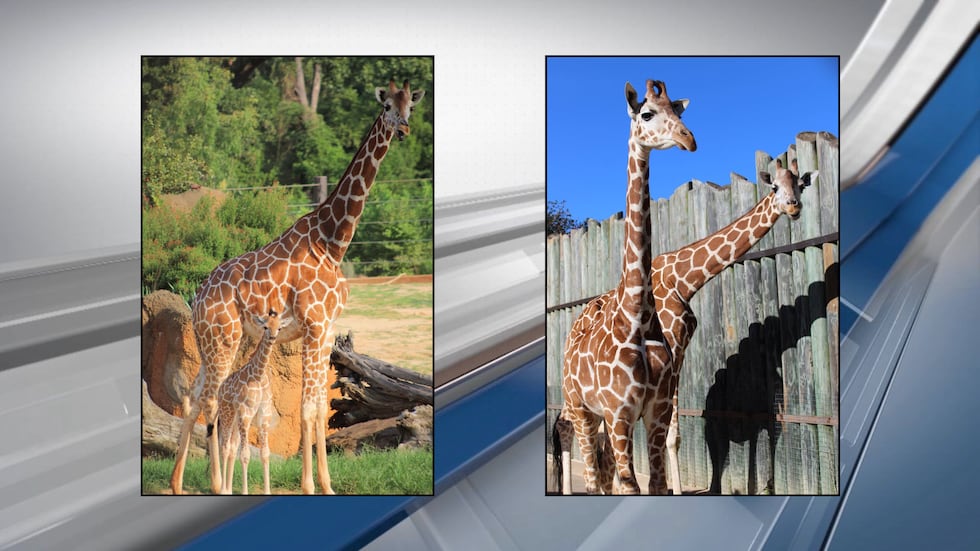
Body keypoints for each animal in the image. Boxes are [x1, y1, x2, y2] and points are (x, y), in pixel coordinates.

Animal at [216, 308, 282, 495]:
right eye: (265, 327)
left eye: (279, 328)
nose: (273, 337)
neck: (258, 376)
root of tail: (220, 390)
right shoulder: (246, 413)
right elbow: (245, 455)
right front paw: (245, 491)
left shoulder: (263, 416)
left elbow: (265, 453)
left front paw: (267, 491)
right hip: (227, 414)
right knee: (224, 447)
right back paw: (223, 489)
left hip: (237, 422)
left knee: (231, 448)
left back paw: (229, 489)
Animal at [552, 79, 697, 495]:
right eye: (647, 114)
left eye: (679, 112)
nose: (689, 140)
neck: (638, 315)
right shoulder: (619, 413)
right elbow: (627, 484)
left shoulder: (656, 410)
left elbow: (656, 484)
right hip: (581, 410)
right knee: (593, 475)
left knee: (601, 473)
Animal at [654, 157, 818, 494]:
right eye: (774, 187)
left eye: (799, 185)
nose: (794, 207)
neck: (681, 282)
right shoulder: (669, 351)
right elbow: (669, 434)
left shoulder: (680, 353)